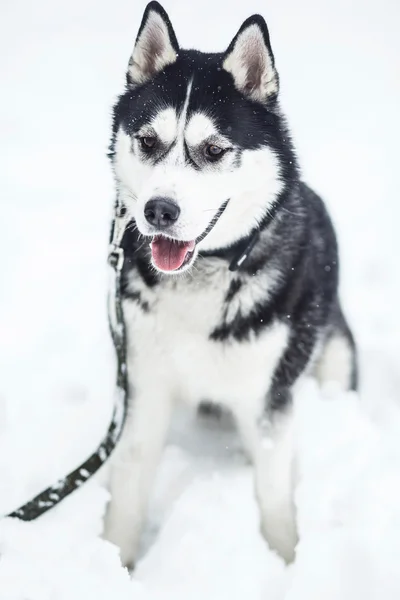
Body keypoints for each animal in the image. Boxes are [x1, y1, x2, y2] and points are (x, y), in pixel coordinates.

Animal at [103, 1, 356, 568]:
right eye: (147, 142)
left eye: (214, 150)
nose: (158, 211)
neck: (205, 273)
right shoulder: (146, 386)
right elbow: (129, 482)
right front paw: (111, 562)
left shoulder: (268, 399)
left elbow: (274, 493)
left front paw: (286, 561)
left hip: (334, 354)